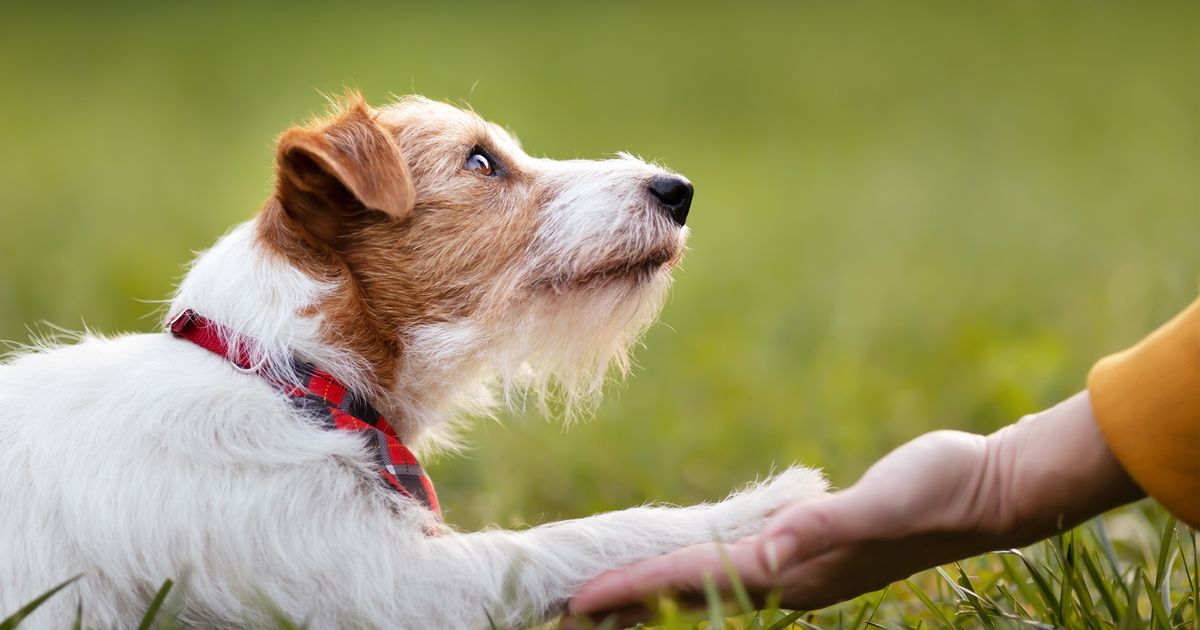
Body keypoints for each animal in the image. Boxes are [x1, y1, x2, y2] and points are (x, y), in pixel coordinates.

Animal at [0, 94, 825, 628]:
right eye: (482, 161)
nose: (676, 190)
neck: (290, 380)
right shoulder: (395, 588)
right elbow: (573, 536)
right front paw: (755, 512)